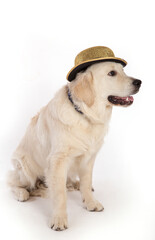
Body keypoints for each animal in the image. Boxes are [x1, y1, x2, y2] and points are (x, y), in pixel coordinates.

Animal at [7, 62, 142, 231]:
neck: (85, 115)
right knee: (13, 182)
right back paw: (21, 193)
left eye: (123, 70)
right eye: (112, 73)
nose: (139, 82)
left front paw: (90, 202)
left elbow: (86, 182)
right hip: (25, 168)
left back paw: (75, 185)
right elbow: (60, 194)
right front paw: (59, 219)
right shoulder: (58, 160)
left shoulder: (89, 157)